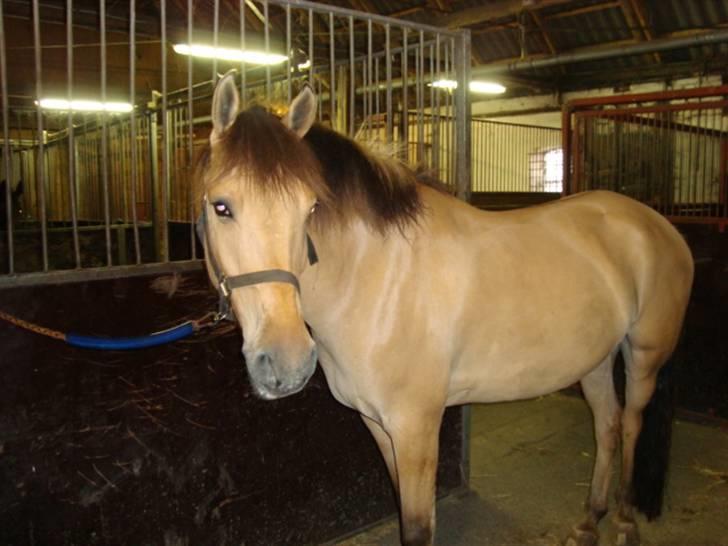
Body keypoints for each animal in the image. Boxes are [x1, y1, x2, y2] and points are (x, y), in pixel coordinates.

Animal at [195, 72, 693, 546]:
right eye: (221, 206)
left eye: (311, 208)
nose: (287, 364)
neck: (376, 280)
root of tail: (658, 225)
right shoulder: (379, 425)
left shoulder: (416, 427)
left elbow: (418, 528)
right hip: (595, 359)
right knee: (607, 425)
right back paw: (588, 522)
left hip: (643, 357)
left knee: (630, 424)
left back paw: (625, 522)